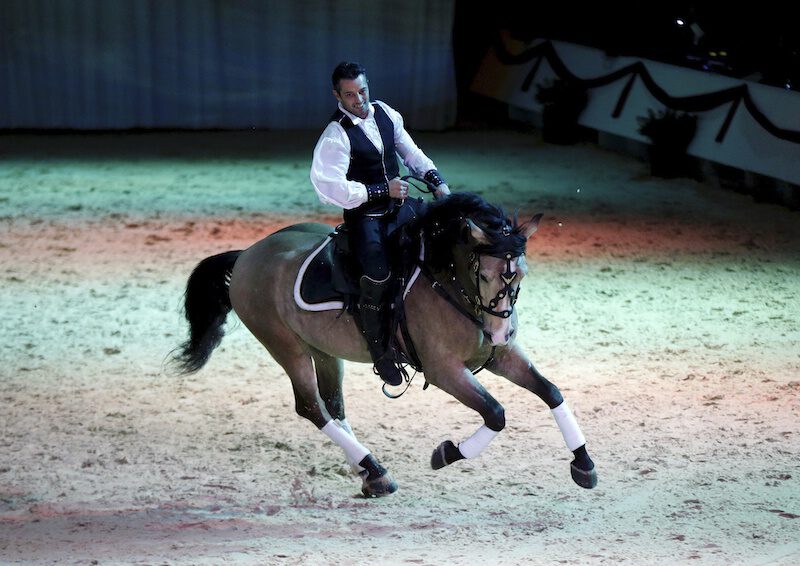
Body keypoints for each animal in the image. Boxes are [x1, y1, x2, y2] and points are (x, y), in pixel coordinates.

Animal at [171, 191, 597, 497]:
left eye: (521, 273)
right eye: (486, 274)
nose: (498, 332)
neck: (448, 284)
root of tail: (247, 254)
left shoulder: (500, 356)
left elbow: (551, 392)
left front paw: (584, 463)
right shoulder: (445, 370)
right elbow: (495, 413)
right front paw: (447, 453)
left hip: (324, 350)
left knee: (334, 406)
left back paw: (367, 472)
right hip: (285, 347)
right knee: (312, 407)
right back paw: (373, 468)